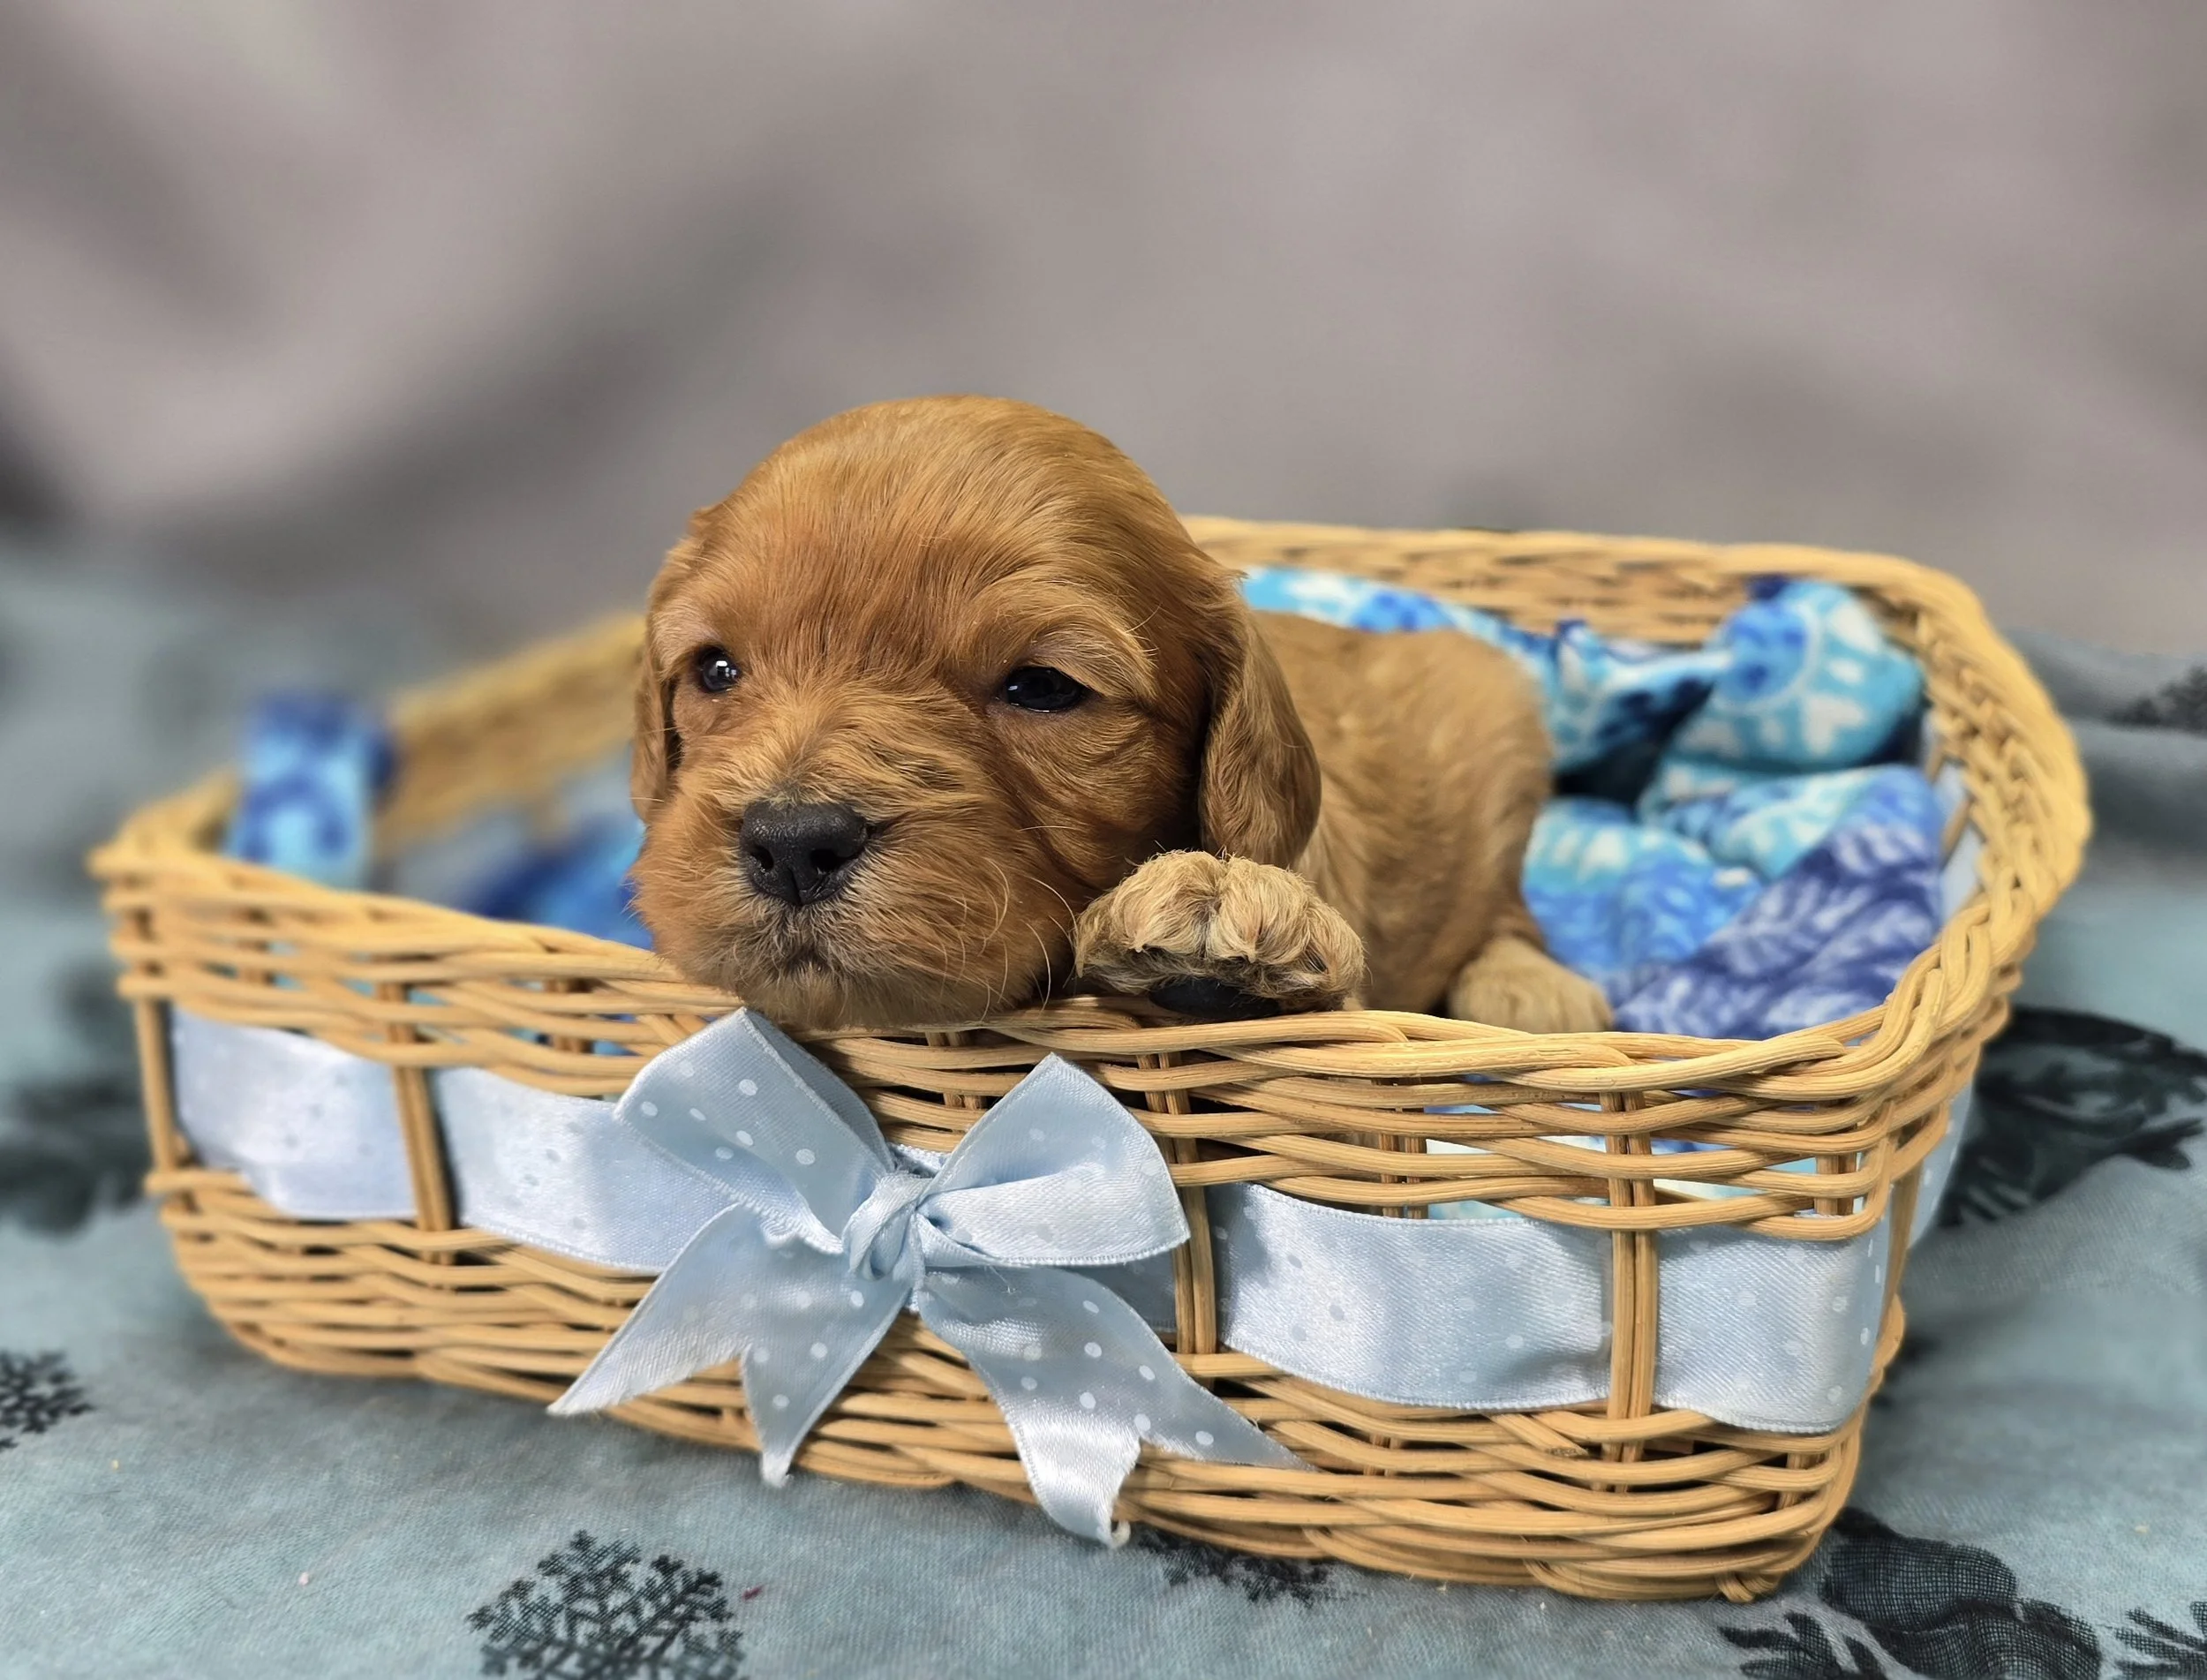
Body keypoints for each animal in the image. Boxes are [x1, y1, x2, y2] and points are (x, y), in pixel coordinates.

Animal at [628, 395, 1611, 1036]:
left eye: (1041, 687)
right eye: (717, 669)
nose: (792, 842)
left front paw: (1221, 922)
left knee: (1510, 916)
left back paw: (1534, 989)